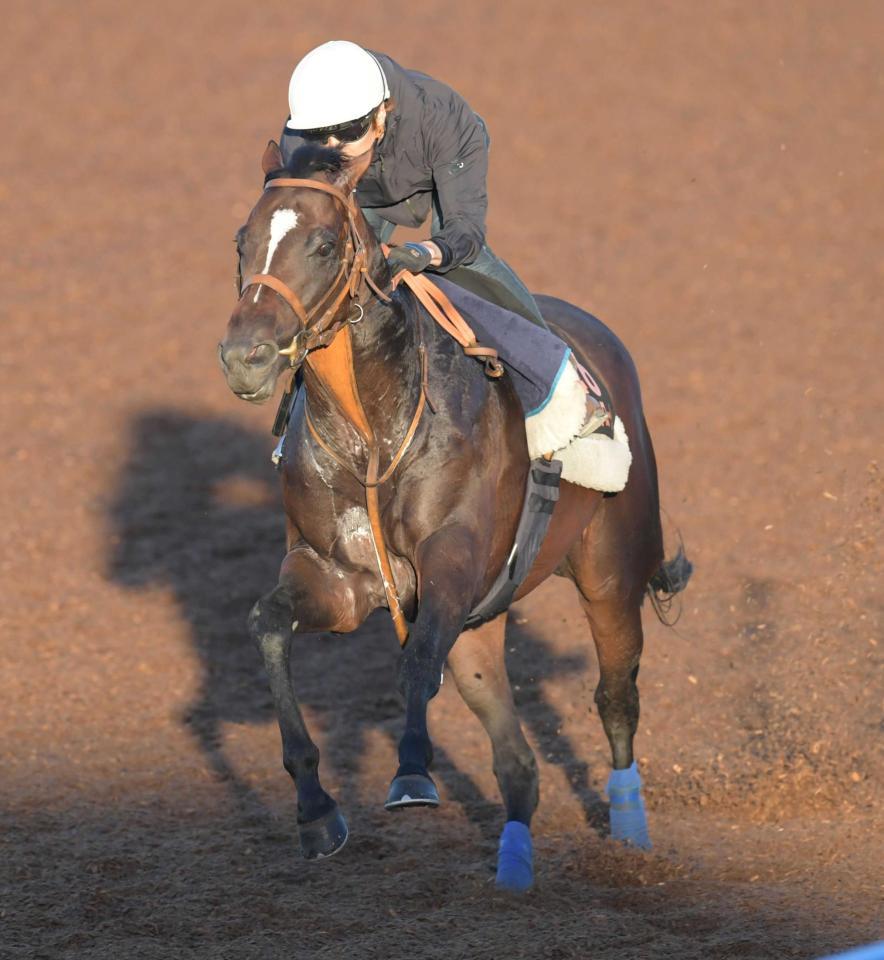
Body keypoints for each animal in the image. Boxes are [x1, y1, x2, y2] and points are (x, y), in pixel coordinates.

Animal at [219, 142, 692, 892]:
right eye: (243, 241)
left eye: (322, 245)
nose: (245, 357)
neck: (373, 434)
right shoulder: (341, 580)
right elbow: (268, 624)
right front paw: (316, 810)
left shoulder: (451, 561)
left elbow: (416, 661)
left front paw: (413, 774)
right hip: (481, 623)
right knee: (517, 762)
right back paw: (514, 866)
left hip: (612, 572)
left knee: (615, 697)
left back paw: (629, 838)